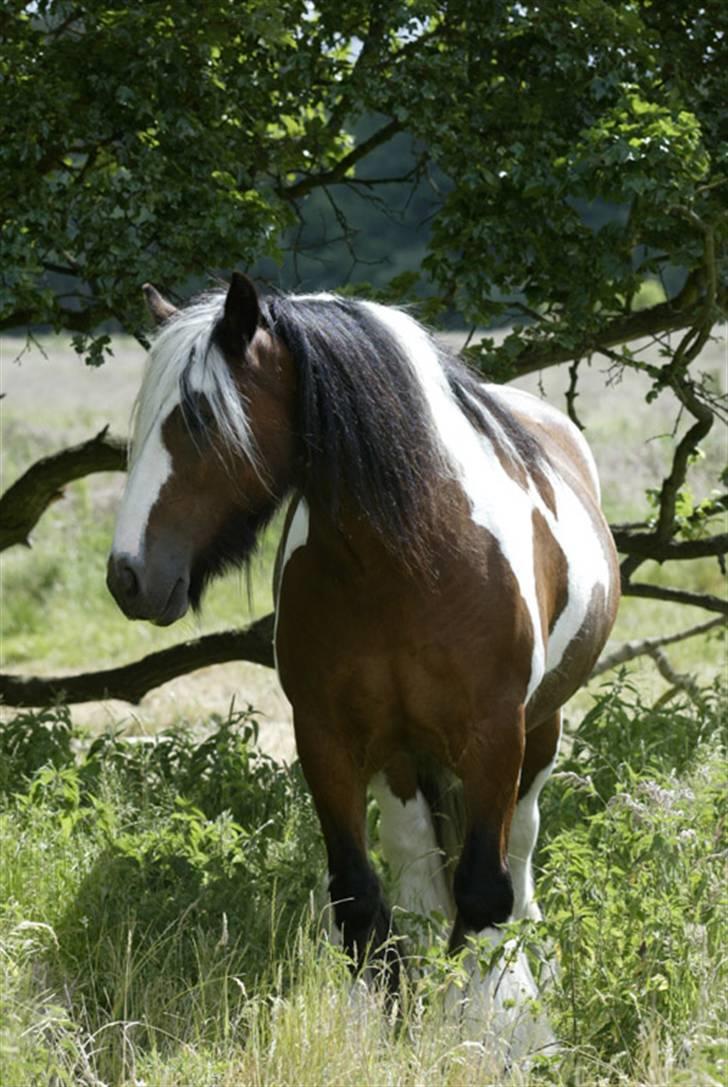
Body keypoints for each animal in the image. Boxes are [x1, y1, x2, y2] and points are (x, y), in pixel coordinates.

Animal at [108, 273, 621, 1060]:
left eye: (197, 417)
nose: (128, 575)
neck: (404, 564)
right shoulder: (328, 737)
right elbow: (358, 894)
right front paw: (383, 1027)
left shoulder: (494, 738)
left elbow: (485, 889)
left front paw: (490, 1031)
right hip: (402, 755)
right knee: (417, 868)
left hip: (540, 734)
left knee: (519, 860)